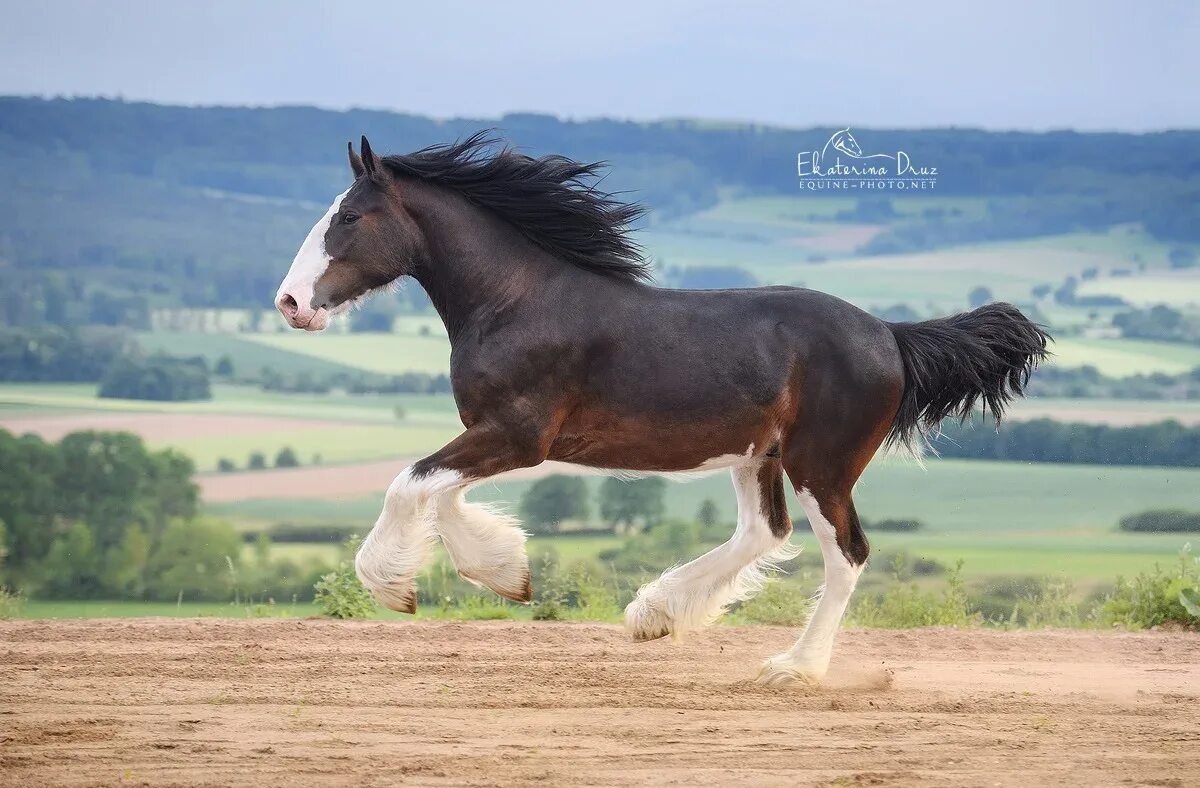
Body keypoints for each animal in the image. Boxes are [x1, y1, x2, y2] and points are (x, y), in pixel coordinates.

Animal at [274, 133, 1051, 681]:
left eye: (349, 216)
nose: (289, 304)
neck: (516, 301)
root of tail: (891, 335)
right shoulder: (494, 437)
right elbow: (439, 493)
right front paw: (508, 571)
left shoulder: (519, 435)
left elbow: (410, 483)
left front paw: (396, 587)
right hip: (758, 455)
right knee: (764, 532)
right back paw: (654, 614)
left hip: (821, 464)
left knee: (847, 553)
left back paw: (793, 668)